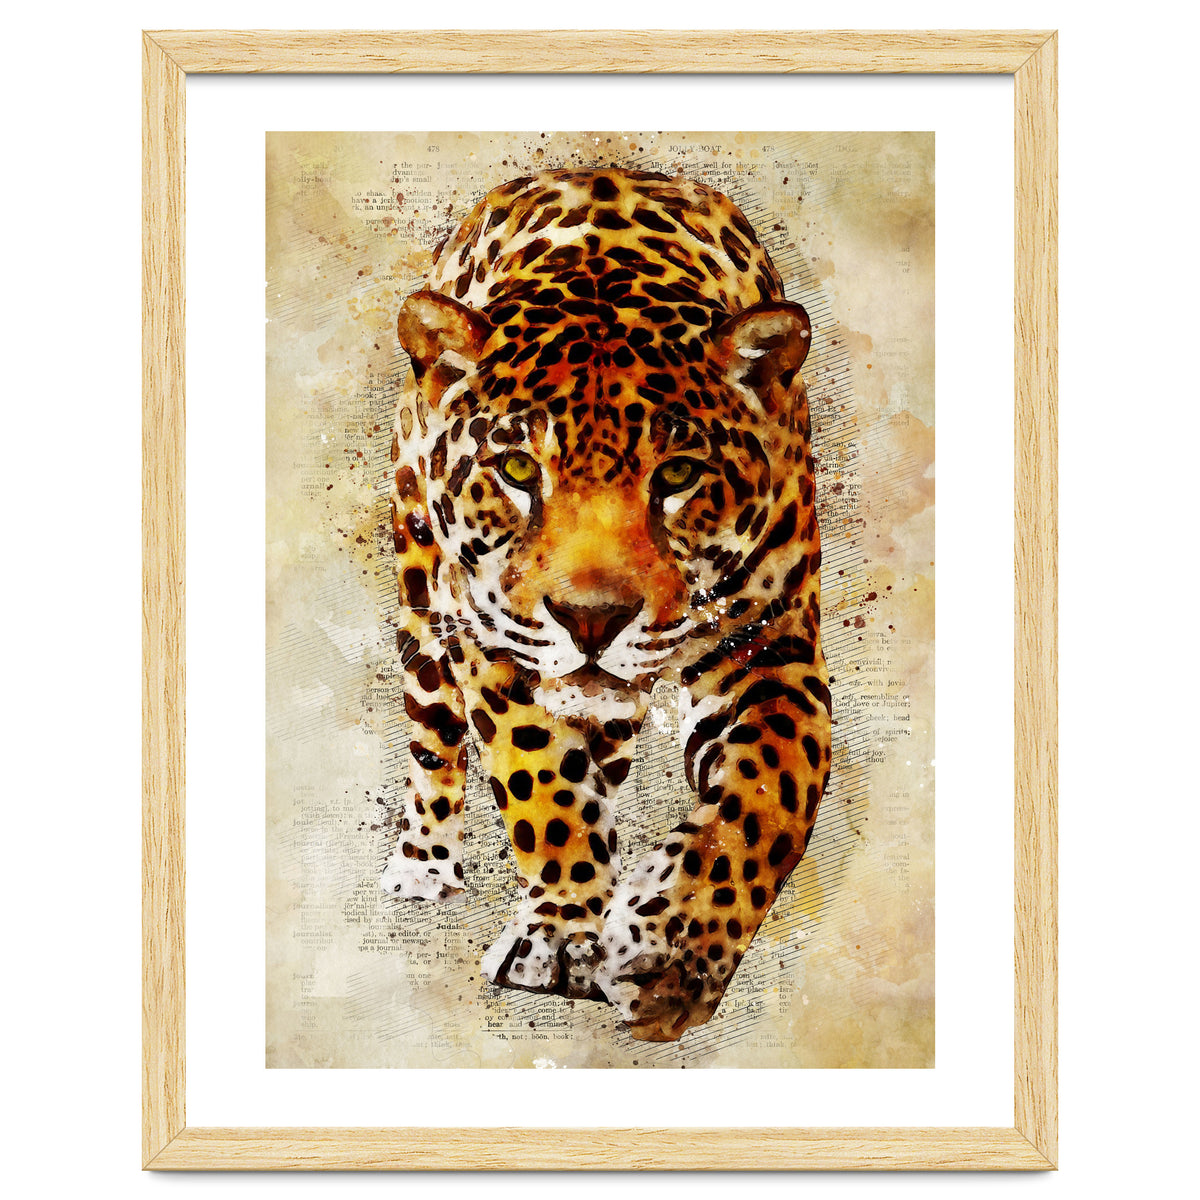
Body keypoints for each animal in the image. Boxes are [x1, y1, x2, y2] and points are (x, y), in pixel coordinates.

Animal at [381, 167, 831, 1042]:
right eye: (518, 469)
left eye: (679, 474)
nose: (591, 619)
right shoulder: (495, 641)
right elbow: (540, 779)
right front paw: (562, 933)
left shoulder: (773, 645)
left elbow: (770, 794)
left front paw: (670, 951)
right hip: (423, 596)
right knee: (433, 734)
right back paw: (423, 864)